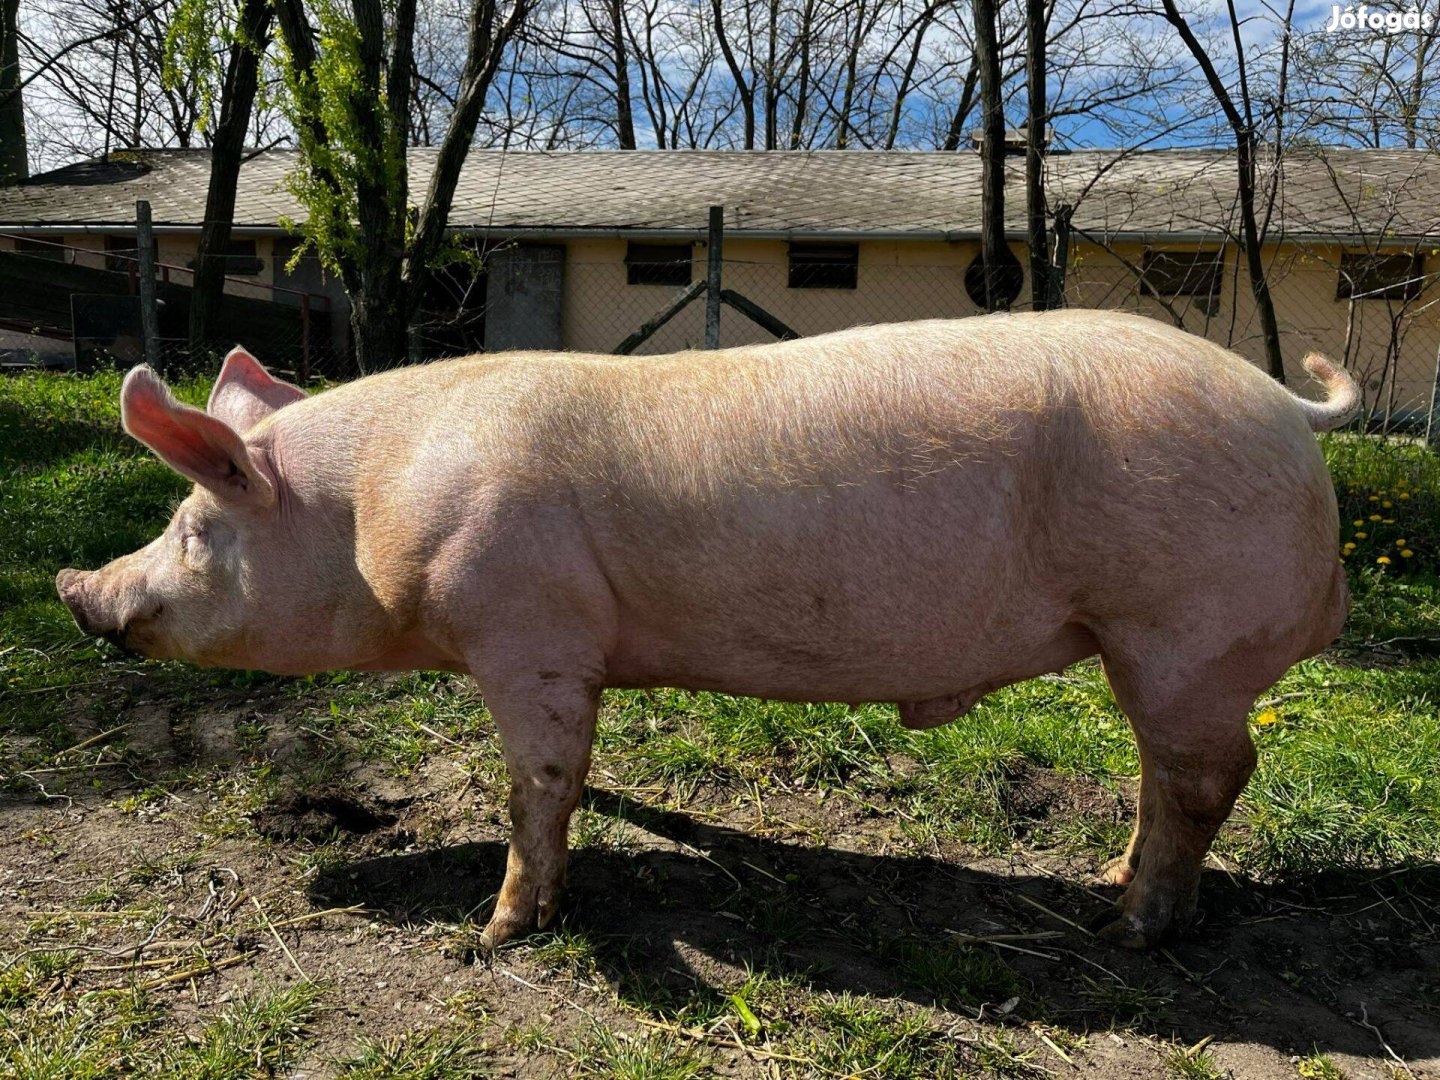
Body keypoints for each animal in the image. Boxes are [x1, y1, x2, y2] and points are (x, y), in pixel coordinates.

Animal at [59, 311, 1359, 944]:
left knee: (1209, 774)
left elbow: (538, 784)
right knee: (1165, 777)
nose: (77, 589)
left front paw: (495, 934)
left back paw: (1130, 933)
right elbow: (577, 776)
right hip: (1162, 648)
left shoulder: (527, 629)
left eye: (191, 526)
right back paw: (1101, 883)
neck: (369, 515)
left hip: (1182, 634)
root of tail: (1285, 403)